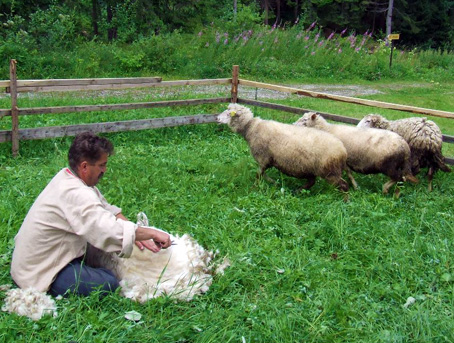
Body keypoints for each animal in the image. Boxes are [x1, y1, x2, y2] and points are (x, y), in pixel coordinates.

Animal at [215, 103, 350, 194]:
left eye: (229, 113)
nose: (216, 118)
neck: (252, 128)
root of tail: (343, 150)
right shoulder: (268, 160)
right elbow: (263, 174)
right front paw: (274, 182)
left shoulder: (263, 158)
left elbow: (259, 175)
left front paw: (256, 187)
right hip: (312, 169)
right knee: (311, 182)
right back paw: (298, 190)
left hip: (330, 171)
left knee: (344, 185)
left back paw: (344, 201)